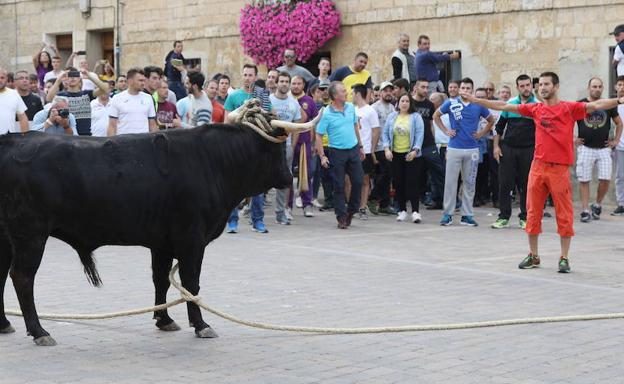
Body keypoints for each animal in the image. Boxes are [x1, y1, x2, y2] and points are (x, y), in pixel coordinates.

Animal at [0, 124, 292, 346]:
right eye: (278, 151)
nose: (290, 178)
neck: (212, 162)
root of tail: (12, 139)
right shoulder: (192, 239)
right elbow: (191, 283)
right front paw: (200, 324)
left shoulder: (162, 243)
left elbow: (160, 279)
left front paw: (165, 320)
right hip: (31, 234)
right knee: (22, 277)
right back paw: (39, 331)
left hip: (8, 238)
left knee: (2, 275)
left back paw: (4, 323)